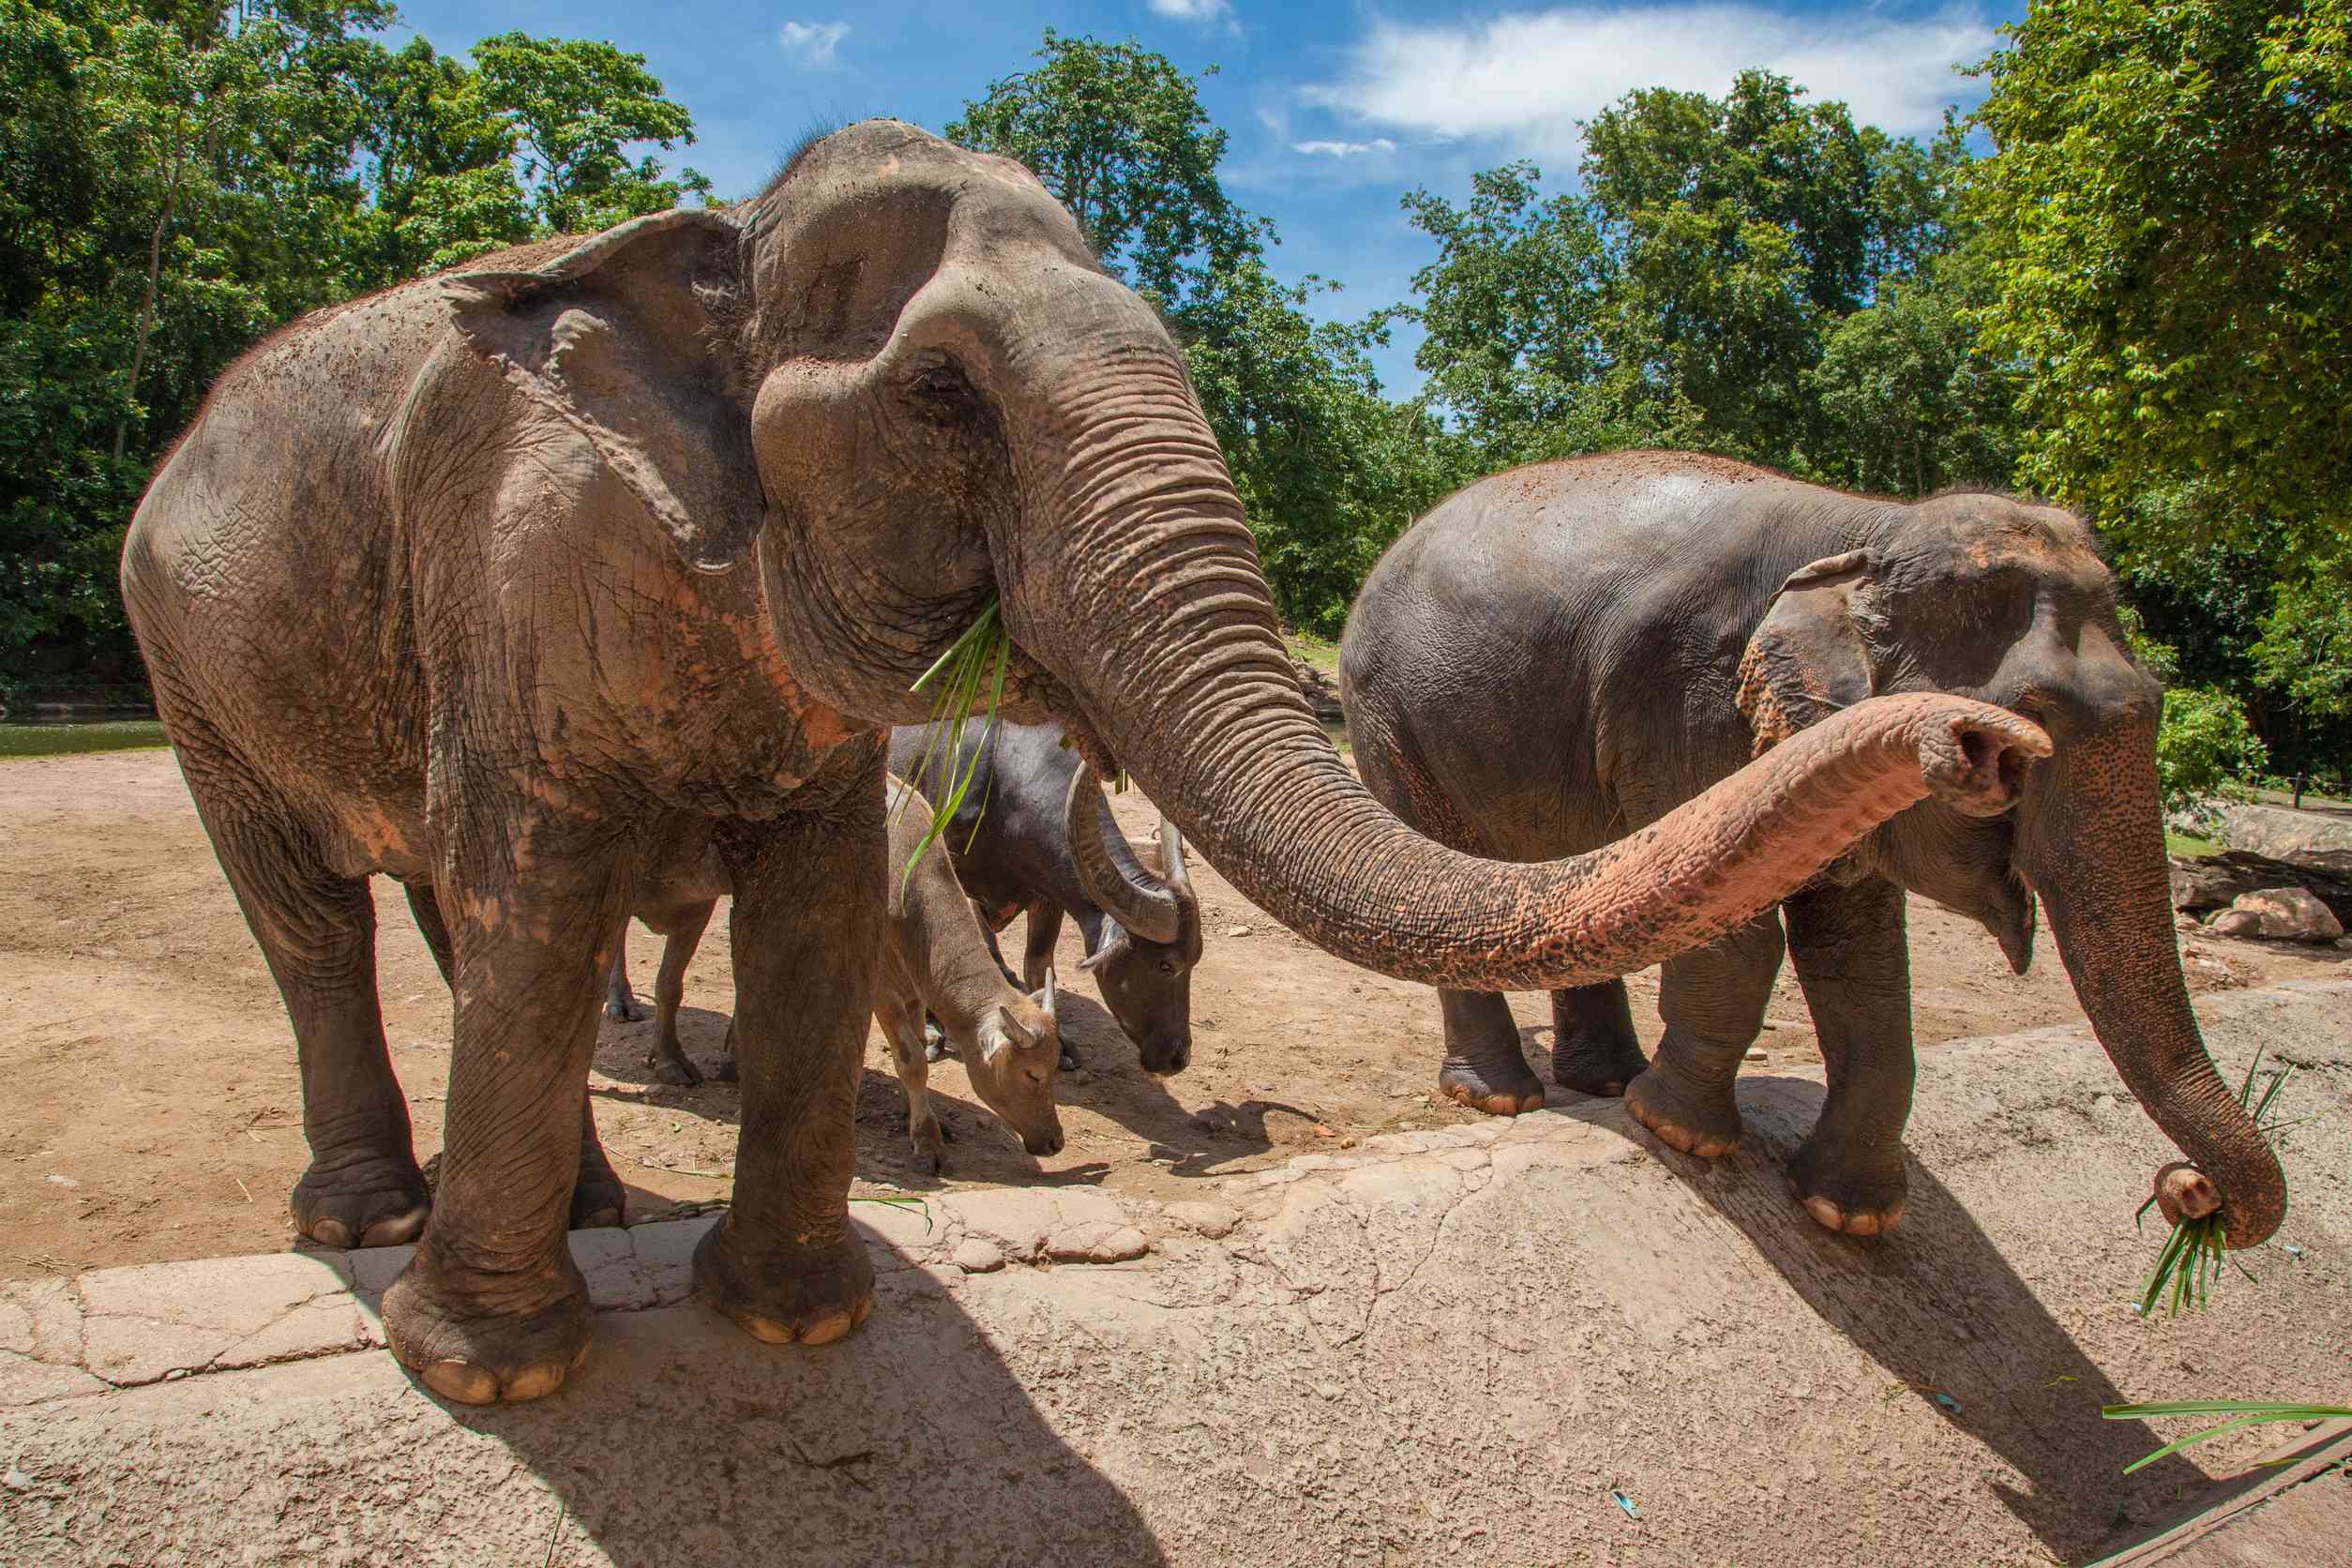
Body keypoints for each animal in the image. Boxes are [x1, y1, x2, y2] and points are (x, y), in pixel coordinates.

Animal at [119, 121, 2049, 1404]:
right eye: (942, 396)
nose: (1984, 736)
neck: (717, 230)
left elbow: (816, 895)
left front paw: (797, 1314)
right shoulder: (520, 572)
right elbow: (544, 874)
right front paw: (491, 1375)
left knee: (447, 918)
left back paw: (586, 1202)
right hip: (182, 664)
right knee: (320, 916)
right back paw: (368, 1223)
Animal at [1340, 449, 2287, 1244]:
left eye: (2155, 702)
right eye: (2017, 741)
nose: (2188, 1191)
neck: (1869, 528)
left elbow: (1862, 959)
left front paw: (1847, 1213)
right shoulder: (1687, 693)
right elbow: (1735, 929)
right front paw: (1676, 1129)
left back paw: (1602, 1082)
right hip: (1387, 720)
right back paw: (1502, 1097)